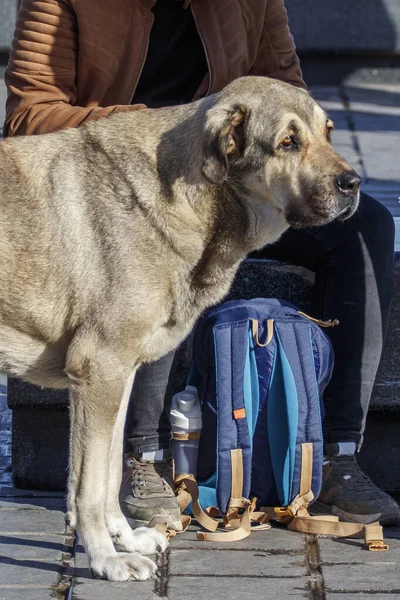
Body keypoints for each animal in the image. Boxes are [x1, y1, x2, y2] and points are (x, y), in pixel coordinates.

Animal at [0, 77, 360, 580]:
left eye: (328, 132)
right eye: (288, 142)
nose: (354, 184)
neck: (197, 200)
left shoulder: (117, 379)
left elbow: (108, 475)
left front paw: (126, 539)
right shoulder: (99, 372)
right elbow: (89, 488)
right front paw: (106, 559)